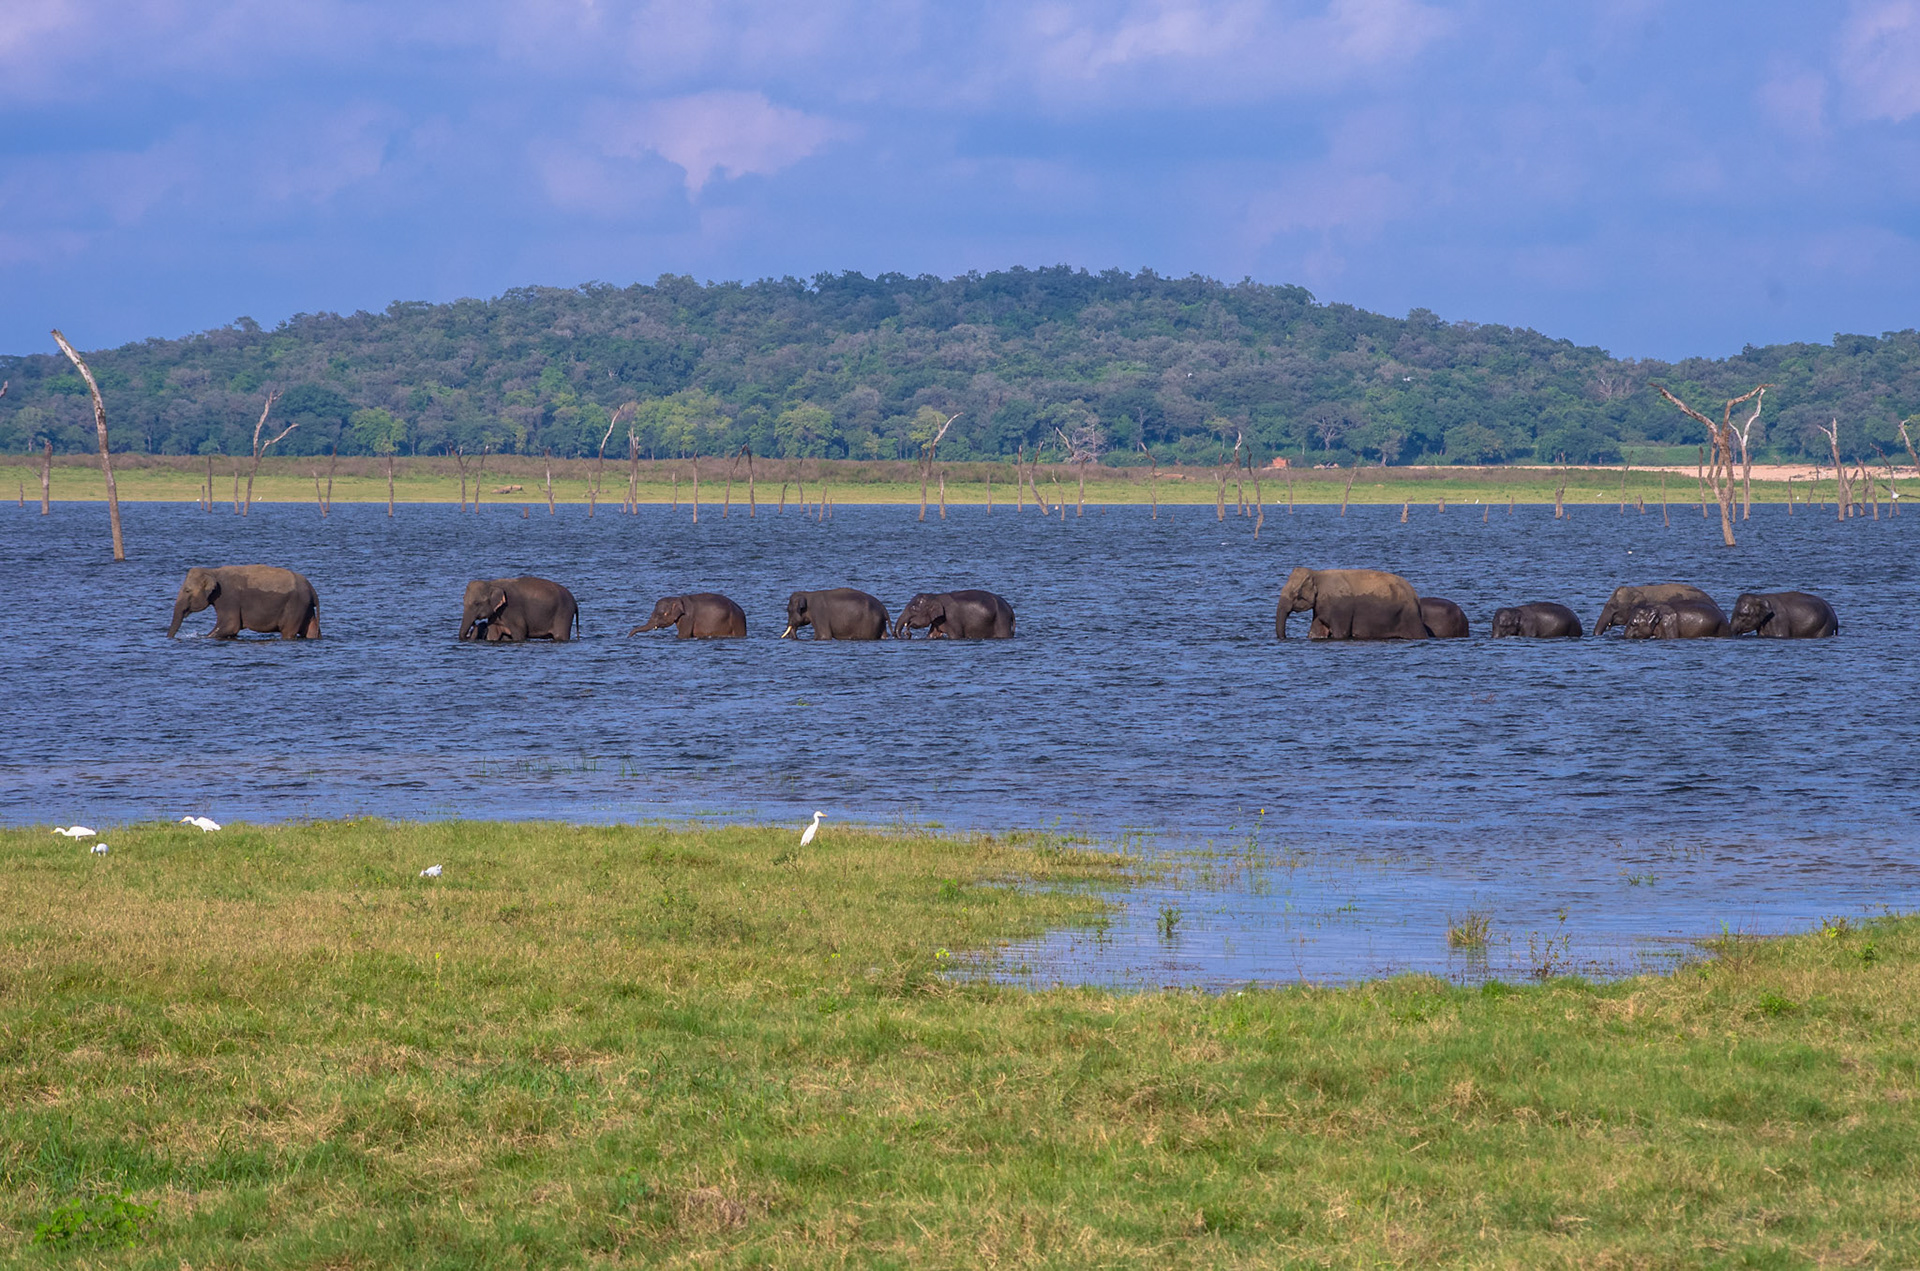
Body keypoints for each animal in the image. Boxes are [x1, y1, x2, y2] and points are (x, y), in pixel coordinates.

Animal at [168, 565, 320, 639]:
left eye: (187, 590)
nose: (170, 638)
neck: (212, 571)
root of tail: (312, 589)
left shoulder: (228, 598)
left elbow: (230, 626)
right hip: (306, 608)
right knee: (311, 631)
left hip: (295, 606)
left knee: (288, 632)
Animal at [1275, 567, 1427, 640]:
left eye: (1296, 594)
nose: (1284, 638)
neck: (1317, 574)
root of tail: (1415, 596)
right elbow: (1317, 631)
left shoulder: (1340, 607)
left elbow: (1340, 633)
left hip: (1409, 616)